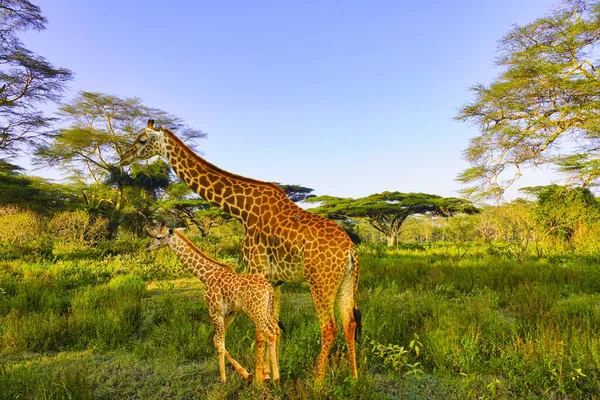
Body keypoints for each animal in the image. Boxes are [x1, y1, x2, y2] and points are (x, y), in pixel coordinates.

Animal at [146, 223, 280, 382]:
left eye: (158, 237)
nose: (147, 247)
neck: (205, 276)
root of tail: (268, 288)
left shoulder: (214, 310)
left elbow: (218, 342)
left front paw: (223, 379)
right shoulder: (229, 313)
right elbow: (218, 340)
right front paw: (246, 373)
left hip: (255, 311)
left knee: (270, 334)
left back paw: (275, 377)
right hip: (267, 310)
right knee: (276, 330)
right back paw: (267, 373)